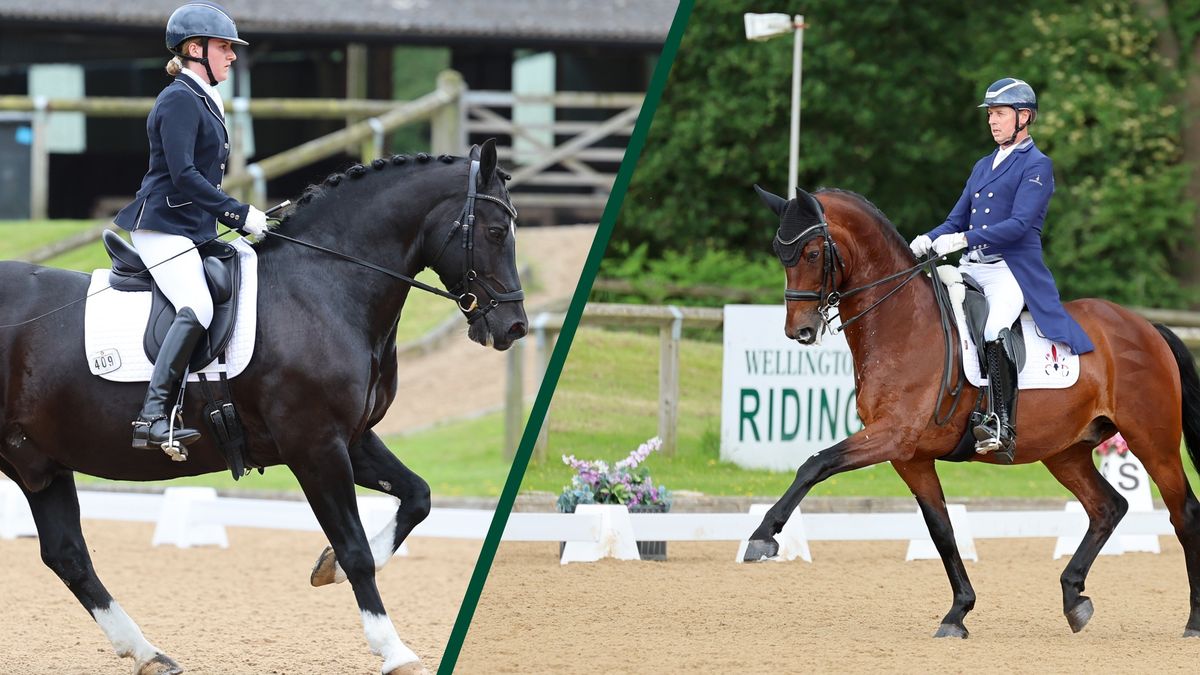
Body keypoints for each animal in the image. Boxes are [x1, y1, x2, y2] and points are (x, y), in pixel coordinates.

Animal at [0, 139, 525, 667]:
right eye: (497, 231)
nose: (514, 327)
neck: (324, 285)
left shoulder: (351, 438)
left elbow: (417, 497)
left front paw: (327, 568)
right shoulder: (314, 445)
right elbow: (355, 549)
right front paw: (393, 650)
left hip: (37, 461)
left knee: (67, 555)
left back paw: (148, 654)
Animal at [748, 186, 1200, 638]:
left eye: (811, 253)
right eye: (779, 253)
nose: (800, 331)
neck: (903, 324)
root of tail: (1146, 326)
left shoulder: (892, 435)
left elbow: (816, 464)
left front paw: (763, 536)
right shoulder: (910, 457)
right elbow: (942, 530)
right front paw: (957, 612)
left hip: (1151, 440)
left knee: (1183, 513)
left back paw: (1193, 621)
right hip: (1065, 452)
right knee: (1108, 508)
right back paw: (1074, 599)